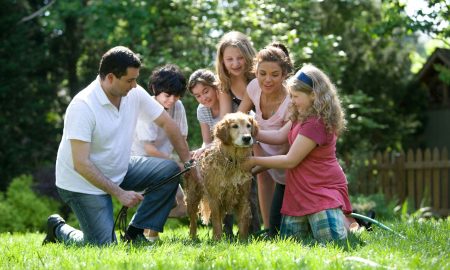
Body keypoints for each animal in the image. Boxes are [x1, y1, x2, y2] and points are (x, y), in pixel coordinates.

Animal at [185, 112, 256, 240]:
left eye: (248, 125)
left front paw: (243, 240)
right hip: (192, 197)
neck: (233, 161)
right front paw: (217, 240)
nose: (247, 138)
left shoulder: (243, 197)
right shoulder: (215, 198)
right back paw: (193, 238)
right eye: (234, 126)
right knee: (192, 221)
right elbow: (216, 222)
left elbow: (243, 222)